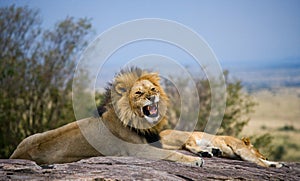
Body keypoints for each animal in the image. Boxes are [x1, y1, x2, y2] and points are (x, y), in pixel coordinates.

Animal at [11, 67, 204, 167]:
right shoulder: (139, 151)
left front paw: (202, 150)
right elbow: (172, 154)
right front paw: (195, 160)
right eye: (138, 93)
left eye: (153, 89)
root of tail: (15, 155)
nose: (152, 97)